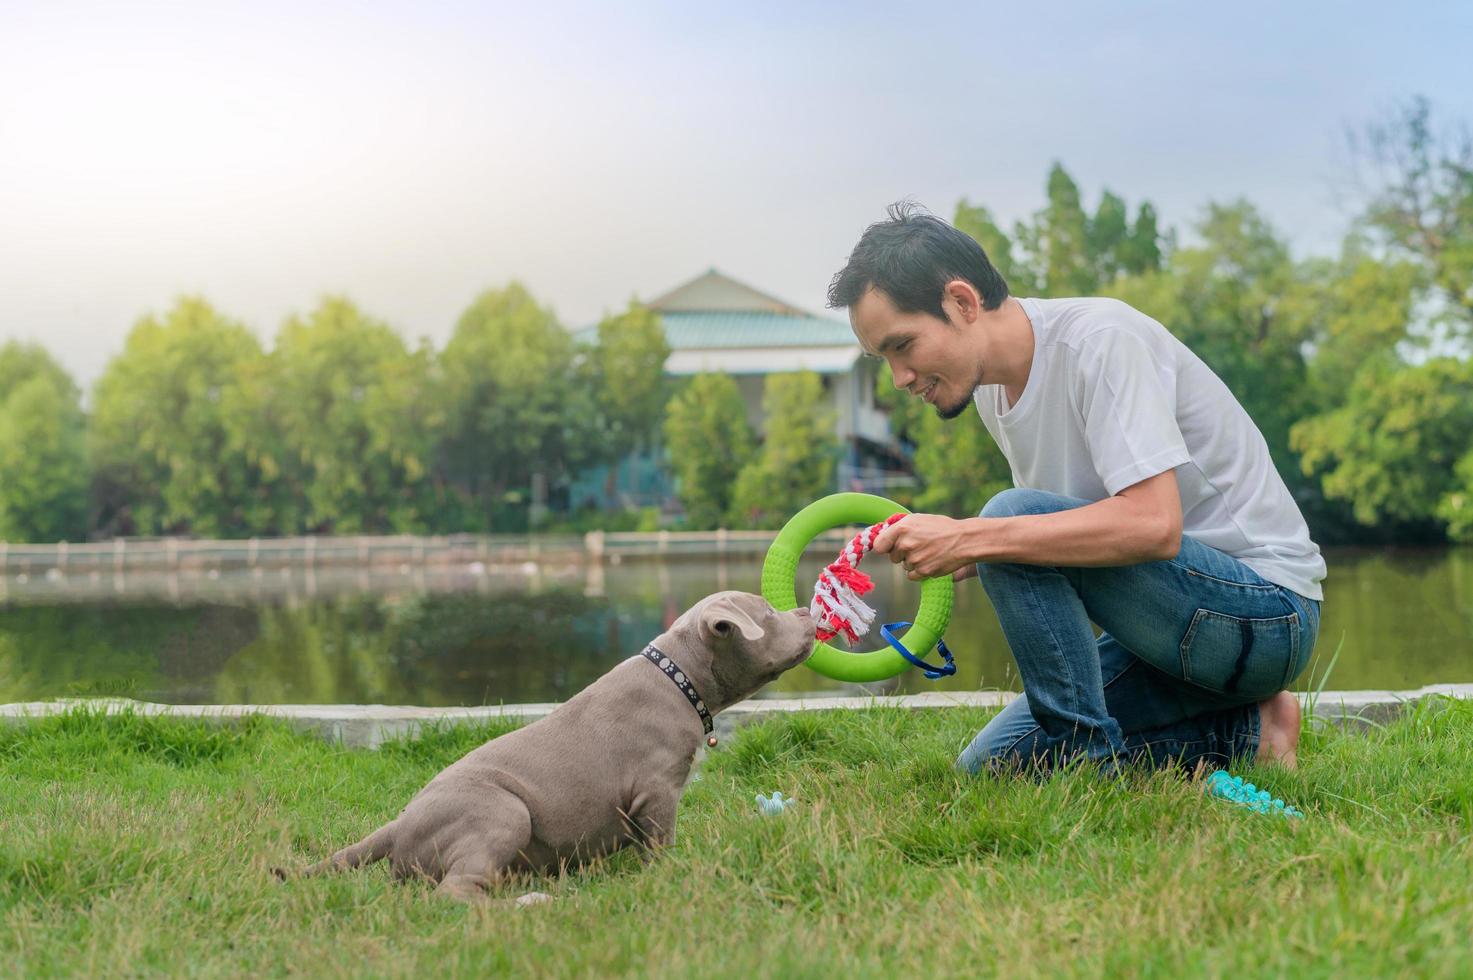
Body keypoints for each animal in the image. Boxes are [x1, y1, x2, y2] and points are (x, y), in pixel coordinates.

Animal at [276, 589, 818, 901]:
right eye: (767, 614)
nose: (807, 611)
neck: (679, 676)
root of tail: (397, 827)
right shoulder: (657, 789)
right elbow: (661, 843)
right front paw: (671, 874)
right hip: (502, 811)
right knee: (454, 890)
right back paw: (525, 905)